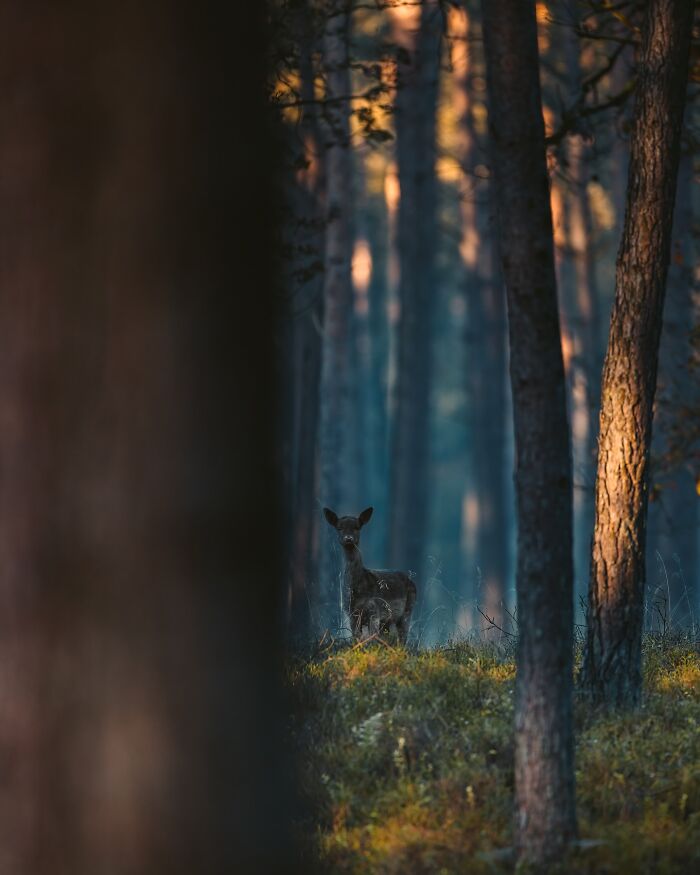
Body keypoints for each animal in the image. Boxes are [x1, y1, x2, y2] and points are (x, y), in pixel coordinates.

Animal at [323, 506, 416, 644]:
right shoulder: (351, 613)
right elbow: (357, 638)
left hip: (407, 610)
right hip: (387, 620)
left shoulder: (374, 611)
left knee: (402, 638)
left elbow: (372, 639)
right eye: (339, 528)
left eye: (357, 527)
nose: (348, 539)